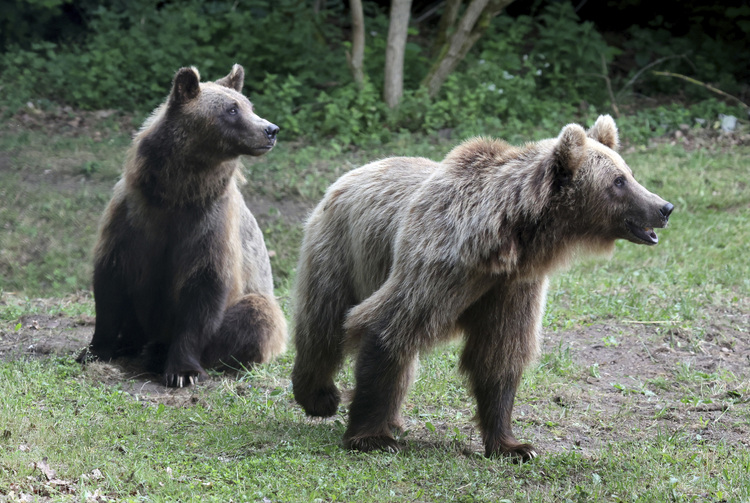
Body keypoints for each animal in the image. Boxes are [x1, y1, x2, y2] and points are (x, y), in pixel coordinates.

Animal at [80, 65, 288, 388]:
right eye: (232, 109)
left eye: (248, 105)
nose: (271, 129)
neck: (177, 193)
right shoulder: (132, 217)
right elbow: (111, 282)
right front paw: (95, 350)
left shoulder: (209, 225)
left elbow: (203, 292)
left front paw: (183, 372)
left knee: (256, 315)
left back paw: (156, 352)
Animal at [294, 116, 676, 462]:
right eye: (618, 181)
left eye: (629, 173)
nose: (664, 207)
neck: (507, 239)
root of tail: (354, 172)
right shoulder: (440, 263)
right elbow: (389, 325)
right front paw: (371, 437)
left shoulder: (513, 286)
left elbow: (500, 352)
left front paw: (513, 445)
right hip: (340, 249)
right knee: (324, 322)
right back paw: (319, 396)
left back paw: (393, 418)